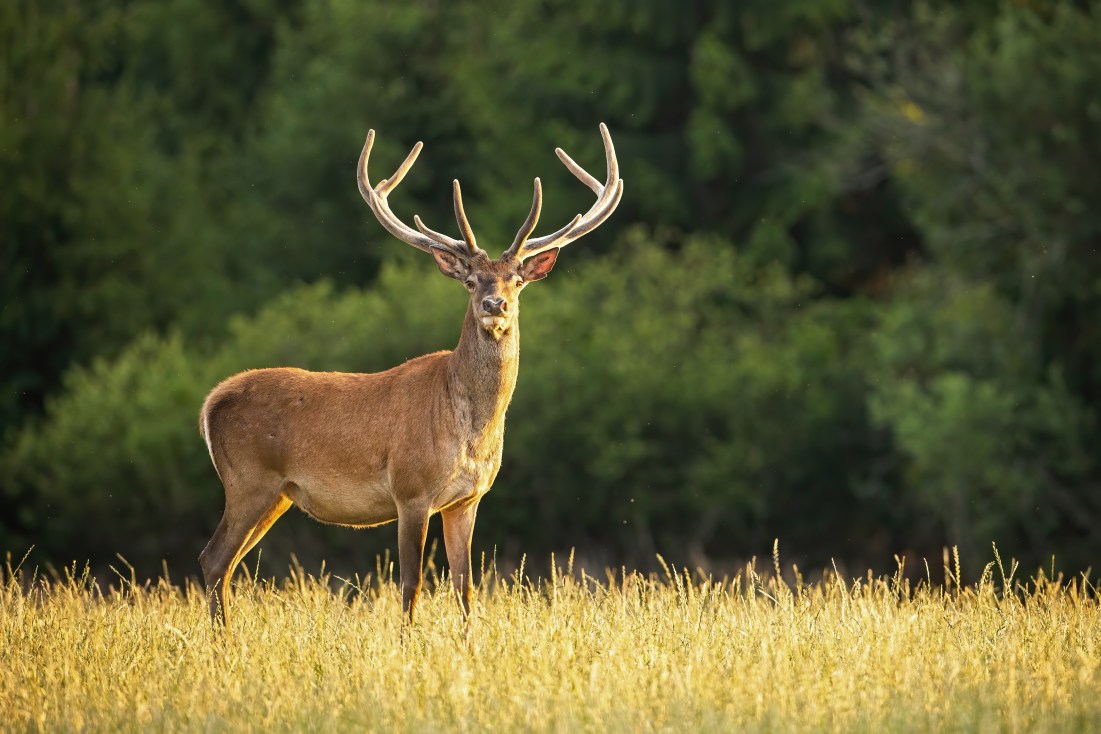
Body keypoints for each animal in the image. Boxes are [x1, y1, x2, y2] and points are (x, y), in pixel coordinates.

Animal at [198, 123, 623, 628]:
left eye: (516, 280)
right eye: (471, 280)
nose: (494, 304)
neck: (469, 430)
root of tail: (210, 403)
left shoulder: (467, 500)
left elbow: (466, 587)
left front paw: (468, 640)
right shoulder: (411, 489)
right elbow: (411, 584)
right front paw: (406, 640)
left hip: (277, 493)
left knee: (225, 563)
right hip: (248, 480)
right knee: (213, 558)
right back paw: (222, 639)